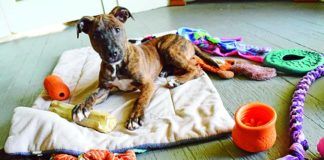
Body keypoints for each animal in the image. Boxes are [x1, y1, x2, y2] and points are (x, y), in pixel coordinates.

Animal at [74, 6, 219, 131]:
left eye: (117, 29)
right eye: (96, 36)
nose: (112, 53)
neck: (117, 65)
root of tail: (186, 40)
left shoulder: (147, 84)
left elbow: (141, 99)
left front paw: (135, 117)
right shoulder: (105, 88)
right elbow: (92, 95)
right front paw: (81, 107)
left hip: (169, 49)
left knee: (196, 69)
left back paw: (177, 80)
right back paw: (166, 72)